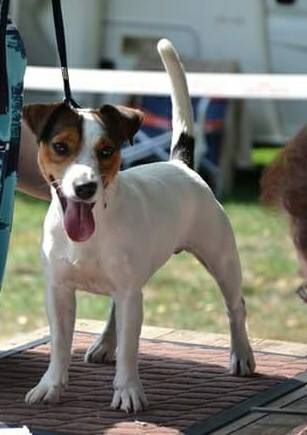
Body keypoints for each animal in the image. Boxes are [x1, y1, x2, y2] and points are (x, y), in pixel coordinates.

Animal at [22, 40, 256, 412]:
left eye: (106, 151)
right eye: (60, 146)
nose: (85, 187)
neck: (96, 225)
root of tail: (180, 165)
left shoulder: (132, 294)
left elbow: (130, 350)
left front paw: (128, 390)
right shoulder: (58, 291)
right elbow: (59, 345)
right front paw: (50, 386)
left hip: (222, 259)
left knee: (236, 307)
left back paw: (242, 354)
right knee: (115, 312)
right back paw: (105, 344)